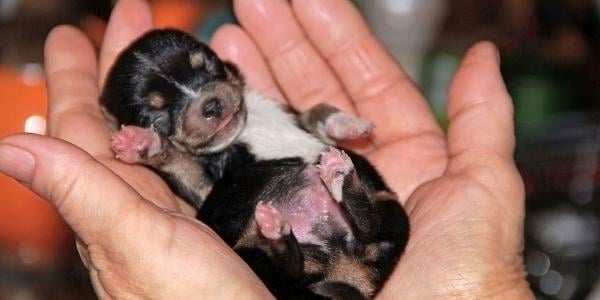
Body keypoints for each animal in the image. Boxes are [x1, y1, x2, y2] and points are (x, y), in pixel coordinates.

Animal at [101, 29, 410, 298]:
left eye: (208, 66)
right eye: (158, 116)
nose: (211, 105)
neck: (244, 128)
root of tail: (347, 271)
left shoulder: (292, 114)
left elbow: (316, 112)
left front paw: (350, 124)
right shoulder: (204, 186)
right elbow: (181, 163)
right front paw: (144, 143)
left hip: (388, 206)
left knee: (371, 227)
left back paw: (338, 179)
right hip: (254, 257)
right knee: (292, 266)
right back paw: (279, 229)